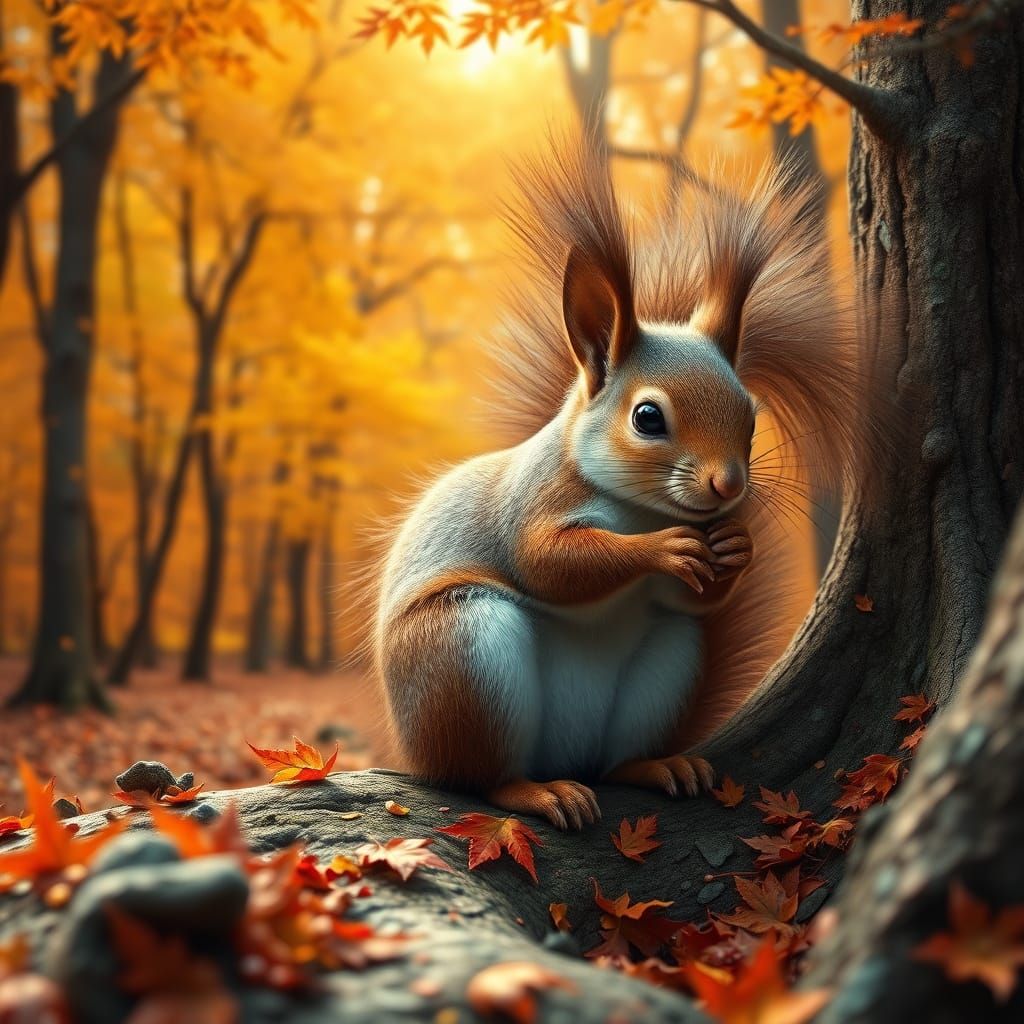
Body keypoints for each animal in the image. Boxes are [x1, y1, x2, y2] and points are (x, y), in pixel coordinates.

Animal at [373, 139, 867, 830]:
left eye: (751, 416)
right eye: (648, 418)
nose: (729, 487)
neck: (641, 508)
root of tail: (565, 759)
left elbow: (694, 599)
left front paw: (735, 548)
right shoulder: (532, 504)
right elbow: (549, 563)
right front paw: (662, 549)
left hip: (667, 664)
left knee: (615, 757)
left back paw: (655, 767)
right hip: (461, 652)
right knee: (480, 776)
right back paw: (535, 792)